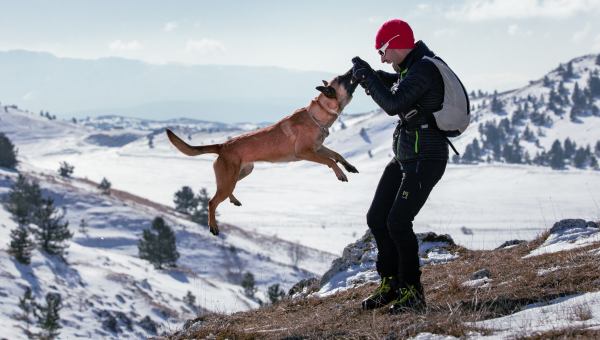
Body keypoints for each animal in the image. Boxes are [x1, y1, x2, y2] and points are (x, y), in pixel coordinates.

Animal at [166, 67, 358, 235]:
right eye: (342, 78)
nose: (354, 67)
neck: (318, 115)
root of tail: (223, 146)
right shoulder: (306, 153)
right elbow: (329, 160)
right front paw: (340, 173)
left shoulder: (318, 148)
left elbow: (336, 155)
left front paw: (349, 166)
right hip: (229, 178)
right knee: (212, 201)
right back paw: (213, 226)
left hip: (242, 173)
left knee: (224, 191)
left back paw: (233, 200)